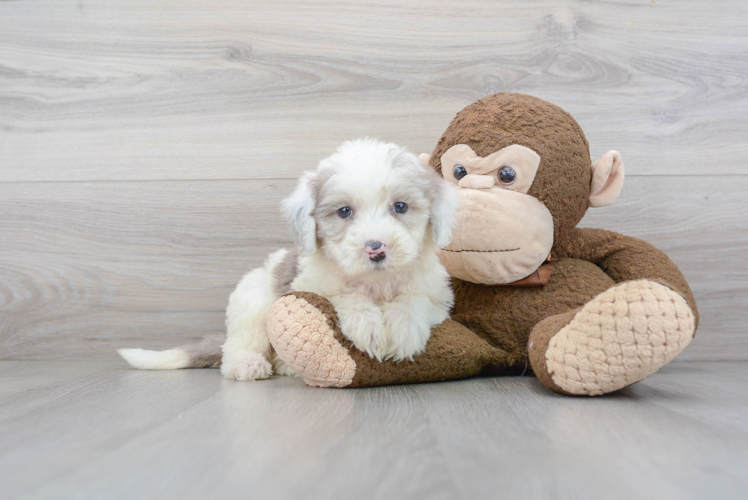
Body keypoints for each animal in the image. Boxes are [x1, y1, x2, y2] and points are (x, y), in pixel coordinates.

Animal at [118, 139, 456, 380]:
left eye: (400, 206)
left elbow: (415, 299)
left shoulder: (438, 298)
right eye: (344, 211)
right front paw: (367, 325)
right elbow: (342, 295)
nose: (376, 248)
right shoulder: (308, 285)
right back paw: (249, 365)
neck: (376, 283)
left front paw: (402, 330)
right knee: (238, 346)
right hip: (253, 301)